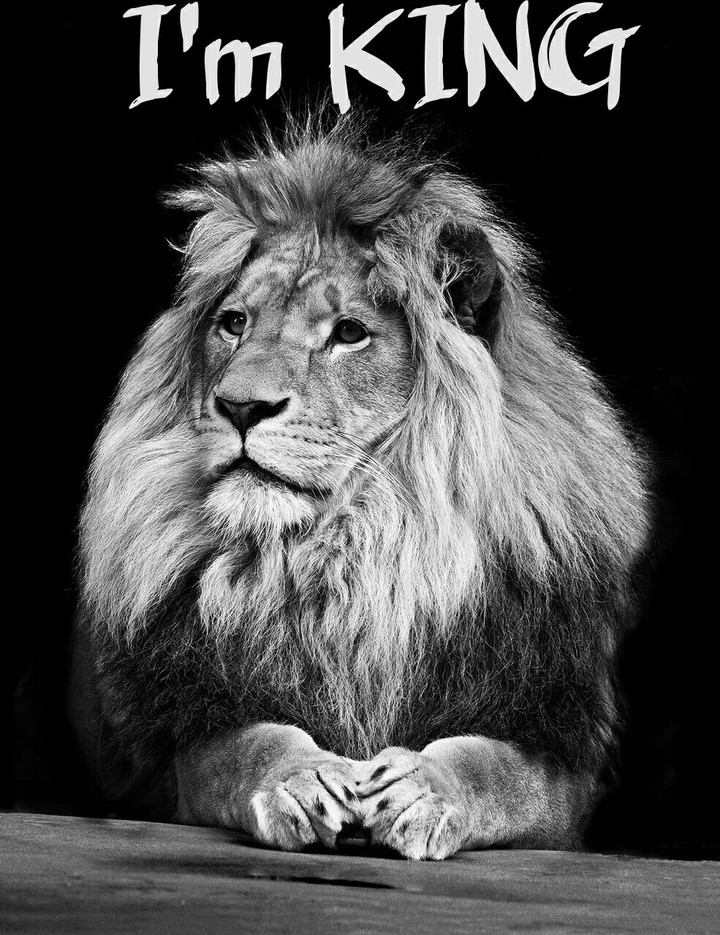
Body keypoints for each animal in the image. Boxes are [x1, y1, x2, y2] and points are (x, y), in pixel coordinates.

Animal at [69, 113, 649, 860]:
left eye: (349, 334)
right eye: (234, 323)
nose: (239, 406)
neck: (360, 551)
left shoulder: (558, 752)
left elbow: (499, 771)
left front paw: (425, 788)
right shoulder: (183, 738)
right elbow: (245, 747)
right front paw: (299, 779)